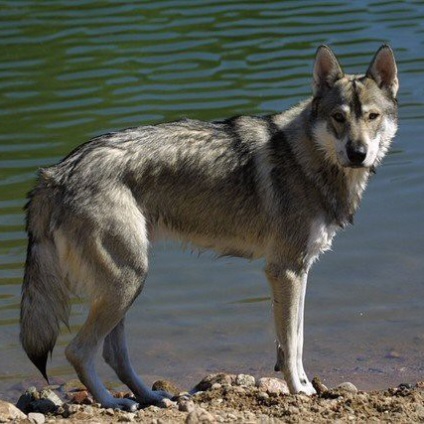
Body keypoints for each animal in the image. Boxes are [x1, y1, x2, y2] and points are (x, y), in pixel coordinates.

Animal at [19, 44, 398, 410]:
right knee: (78, 351)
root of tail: (55, 173)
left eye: (372, 117)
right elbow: (292, 343)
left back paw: (152, 398)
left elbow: (295, 338)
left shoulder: (298, 271)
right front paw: (301, 390)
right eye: (338, 118)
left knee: (114, 355)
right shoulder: (286, 270)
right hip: (126, 282)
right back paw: (113, 402)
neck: (308, 158)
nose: (357, 153)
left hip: (123, 288)